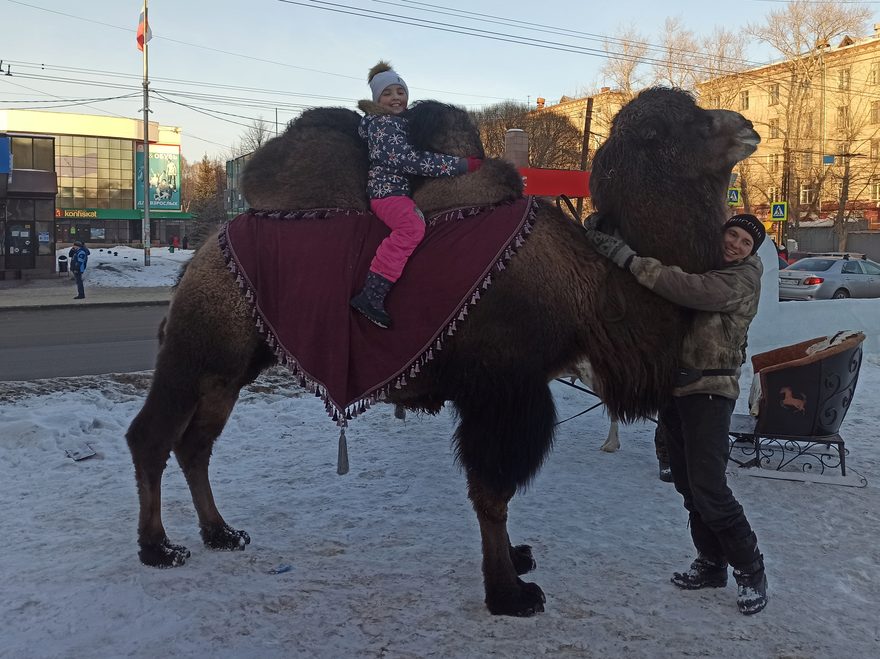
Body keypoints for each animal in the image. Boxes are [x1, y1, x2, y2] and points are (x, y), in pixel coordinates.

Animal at [127, 89, 760, 620]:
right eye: (684, 125)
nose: (747, 125)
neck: (586, 283)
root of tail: (199, 253)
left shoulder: (503, 394)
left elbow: (494, 492)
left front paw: (517, 561)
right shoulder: (506, 388)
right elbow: (491, 492)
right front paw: (510, 594)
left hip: (231, 366)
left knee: (196, 443)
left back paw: (221, 533)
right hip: (197, 345)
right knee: (152, 435)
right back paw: (160, 548)